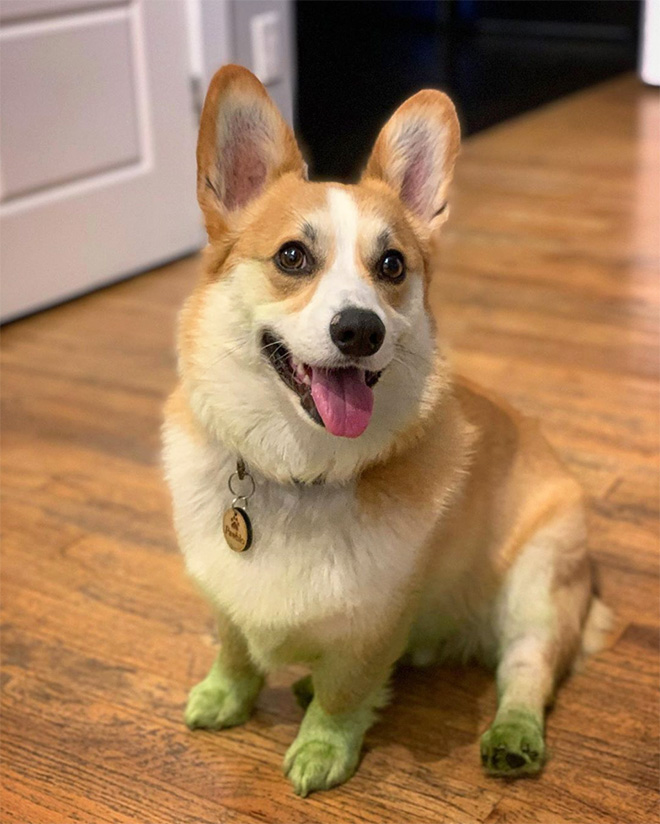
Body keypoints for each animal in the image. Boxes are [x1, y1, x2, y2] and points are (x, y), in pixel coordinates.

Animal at [162, 64, 612, 800]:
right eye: (292, 257)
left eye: (393, 266)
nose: (359, 330)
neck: (302, 470)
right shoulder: (223, 590)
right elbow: (234, 652)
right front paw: (224, 698)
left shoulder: (374, 625)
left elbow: (345, 694)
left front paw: (322, 749)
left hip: (538, 587)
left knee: (525, 672)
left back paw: (512, 740)